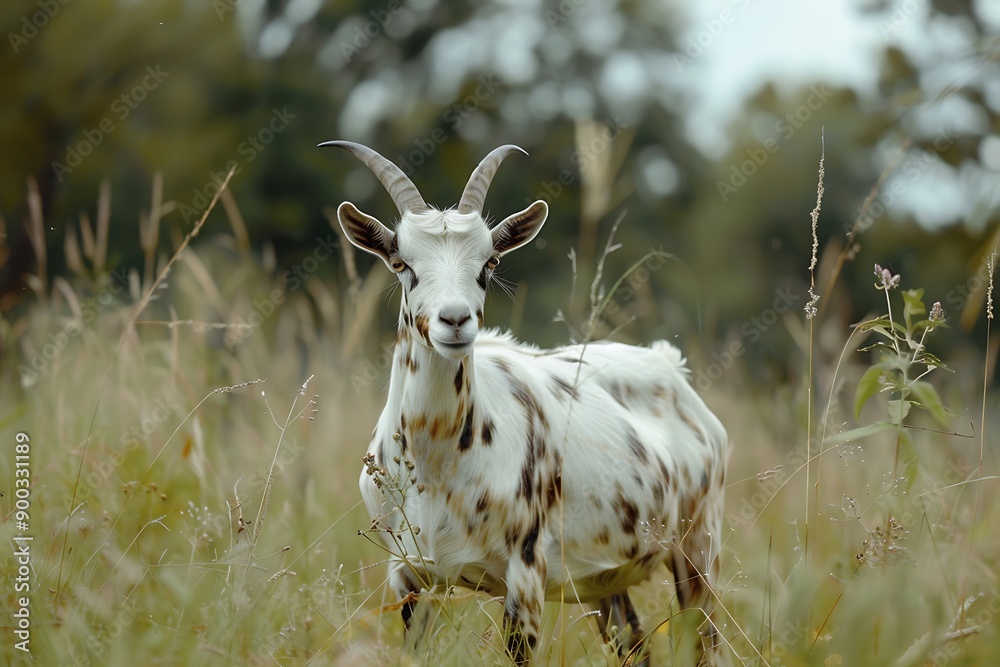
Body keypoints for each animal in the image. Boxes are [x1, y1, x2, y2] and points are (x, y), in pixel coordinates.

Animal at [324, 141, 732, 667]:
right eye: (402, 264)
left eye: (489, 264)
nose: (454, 320)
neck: (437, 462)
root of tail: (669, 364)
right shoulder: (410, 576)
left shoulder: (526, 572)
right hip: (606, 580)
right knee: (633, 644)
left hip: (699, 545)